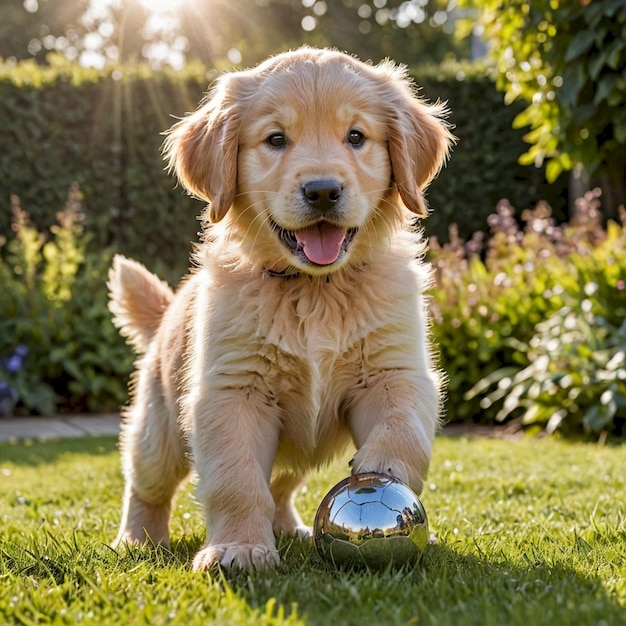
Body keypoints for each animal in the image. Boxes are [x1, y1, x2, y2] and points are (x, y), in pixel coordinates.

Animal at [106, 46, 448, 568]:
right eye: (275, 139)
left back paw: (292, 528)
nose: (323, 190)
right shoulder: (232, 391)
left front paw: (382, 472)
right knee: (146, 484)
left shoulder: (396, 368)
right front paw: (240, 548)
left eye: (356, 136)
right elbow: (237, 480)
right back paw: (138, 538)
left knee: (282, 485)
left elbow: (404, 425)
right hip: (159, 431)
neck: (315, 288)